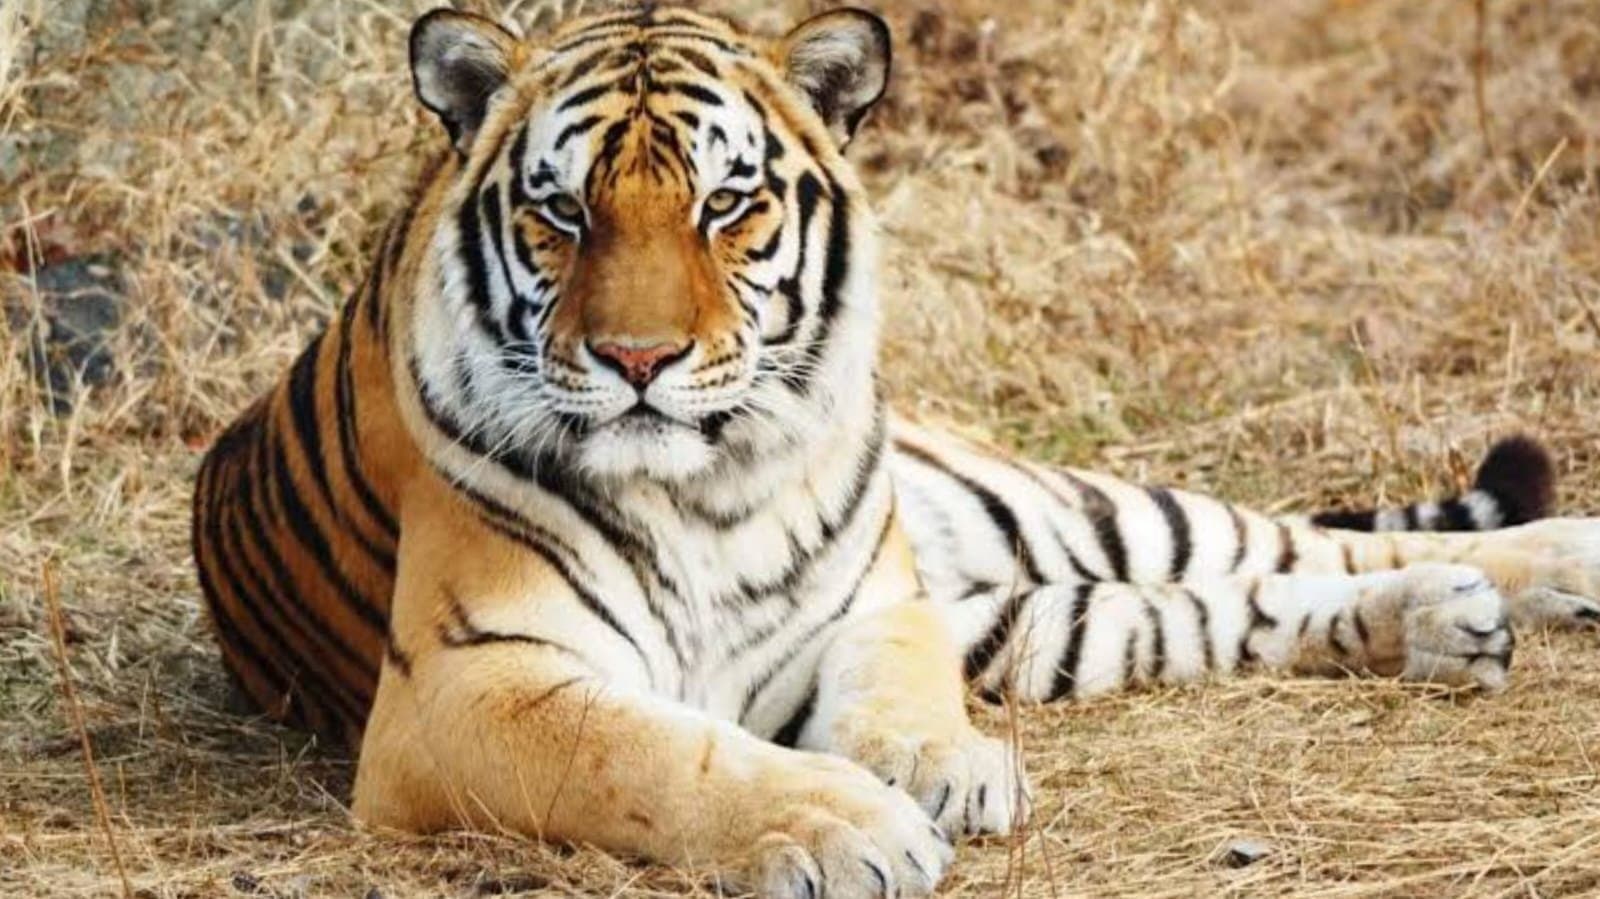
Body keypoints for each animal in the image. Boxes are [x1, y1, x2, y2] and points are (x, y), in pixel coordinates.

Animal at [189, 5, 1600, 897]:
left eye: (727, 204)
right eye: (563, 212)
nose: (639, 361)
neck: (706, 491)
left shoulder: (876, 603)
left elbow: (901, 693)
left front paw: (948, 767)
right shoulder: (463, 688)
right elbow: (644, 748)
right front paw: (846, 818)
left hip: (1052, 514)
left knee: (1276, 538)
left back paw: (1550, 566)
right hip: (1036, 610)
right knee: (1222, 604)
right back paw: (1445, 625)